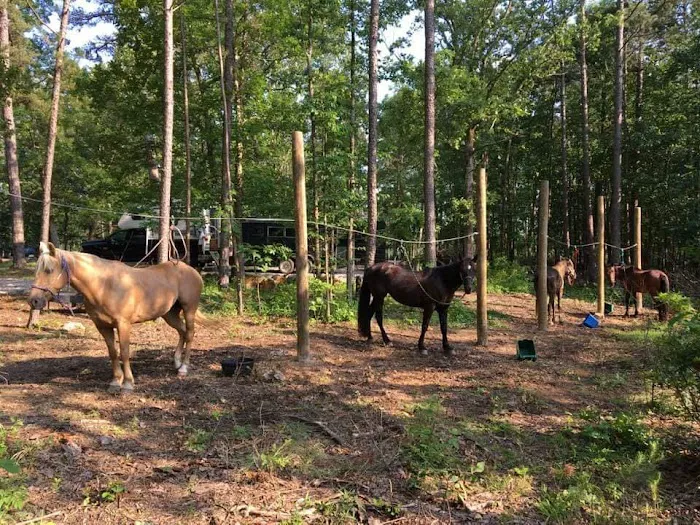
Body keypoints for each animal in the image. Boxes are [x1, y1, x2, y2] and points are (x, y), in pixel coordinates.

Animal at [27, 242, 204, 392]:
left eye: (49, 270)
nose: (34, 301)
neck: (104, 285)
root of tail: (191, 270)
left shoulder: (123, 324)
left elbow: (124, 352)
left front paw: (128, 384)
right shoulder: (103, 326)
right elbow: (113, 352)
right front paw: (115, 382)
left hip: (189, 309)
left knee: (189, 333)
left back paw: (183, 368)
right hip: (170, 314)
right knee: (182, 332)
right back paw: (177, 363)